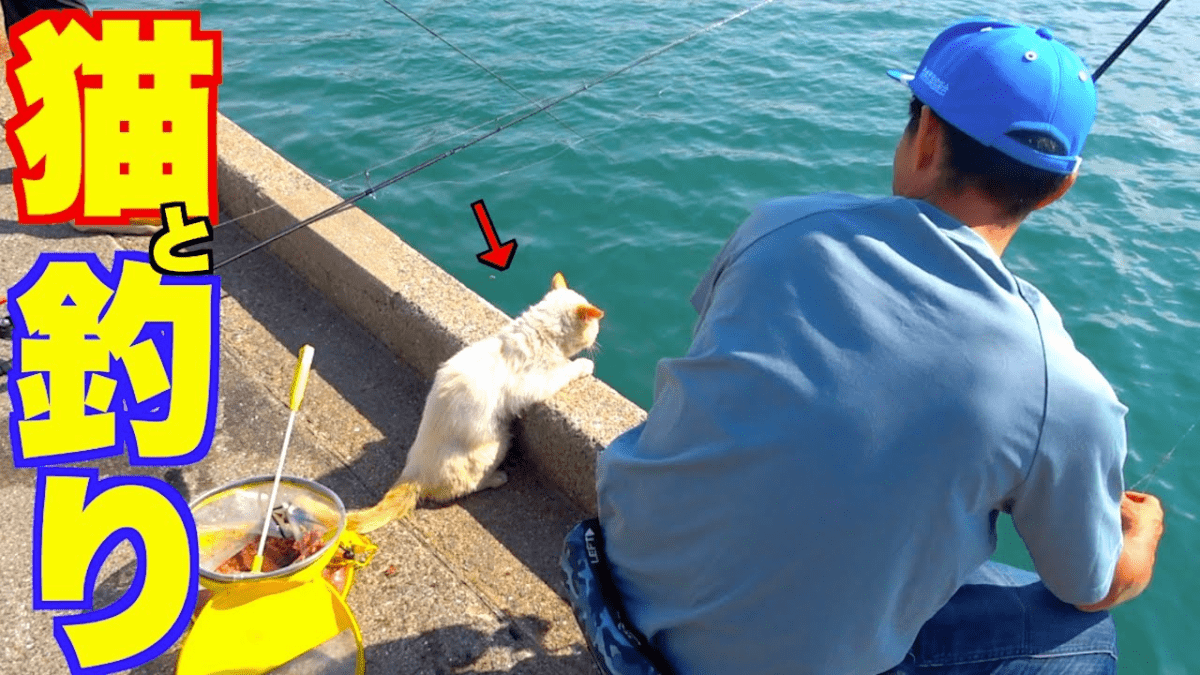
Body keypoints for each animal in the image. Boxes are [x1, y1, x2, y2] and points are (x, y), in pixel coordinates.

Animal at [348, 271, 604, 530]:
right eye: (595, 329)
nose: (596, 343)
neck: (536, 332)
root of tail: (412, 473)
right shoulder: (539, 383)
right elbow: (567, 370)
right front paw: (585, 365)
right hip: (497, 444)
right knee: (466, 487)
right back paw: (497, 478)